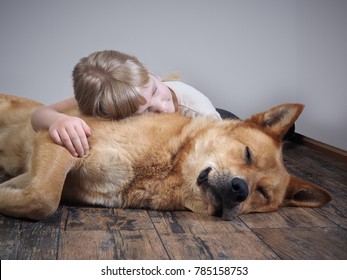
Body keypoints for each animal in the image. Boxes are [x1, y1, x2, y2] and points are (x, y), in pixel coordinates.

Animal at [0, 94, 332, 221]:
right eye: (247, 154)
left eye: (261, 193)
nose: (240, 190)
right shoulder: (60, 139)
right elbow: (43, 198)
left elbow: (38, 193)